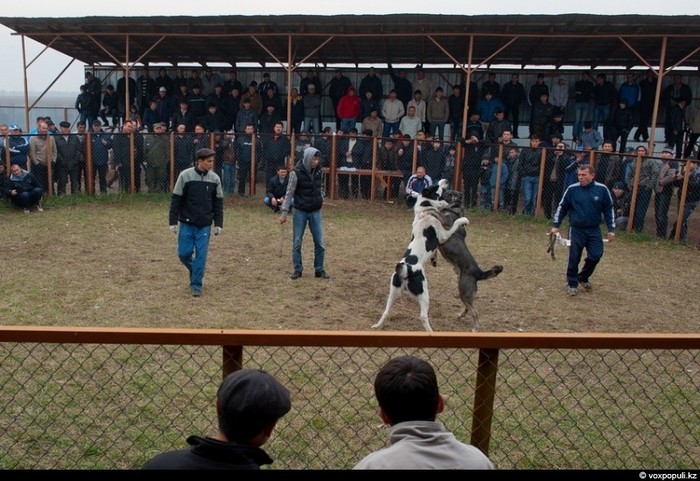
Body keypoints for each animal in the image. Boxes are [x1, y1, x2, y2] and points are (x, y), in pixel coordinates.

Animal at [372, 178, 470, 332]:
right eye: (440, 190)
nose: (445, 179)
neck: (425, 212)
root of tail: (406, 269)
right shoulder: (443, 235)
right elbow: (455, 223)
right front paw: (464, 220)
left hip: (393, 293)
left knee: (386, 311)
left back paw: (377, 325)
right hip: (424, 294)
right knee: (423, 316)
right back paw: (431, 332)